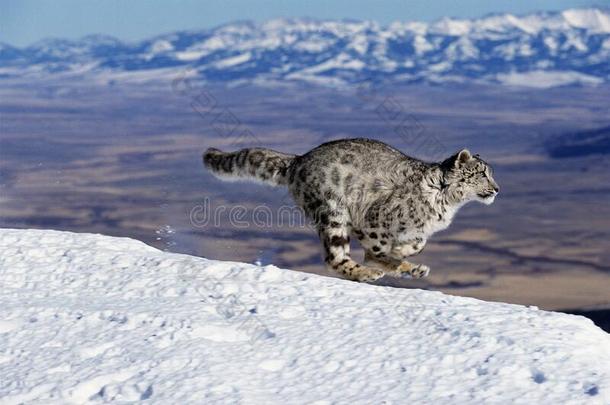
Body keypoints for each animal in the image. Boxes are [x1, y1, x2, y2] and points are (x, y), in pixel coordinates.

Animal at [202, 138, 496, 280]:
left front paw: (404, 254)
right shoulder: (372, 221)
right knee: (335, 258)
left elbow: (418, 242)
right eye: (482, 173)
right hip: (332, 213)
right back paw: (369, 273)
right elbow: (376, 249)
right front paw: (390, 259)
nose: (497, 189)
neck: (448, 204)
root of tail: (300, 160)